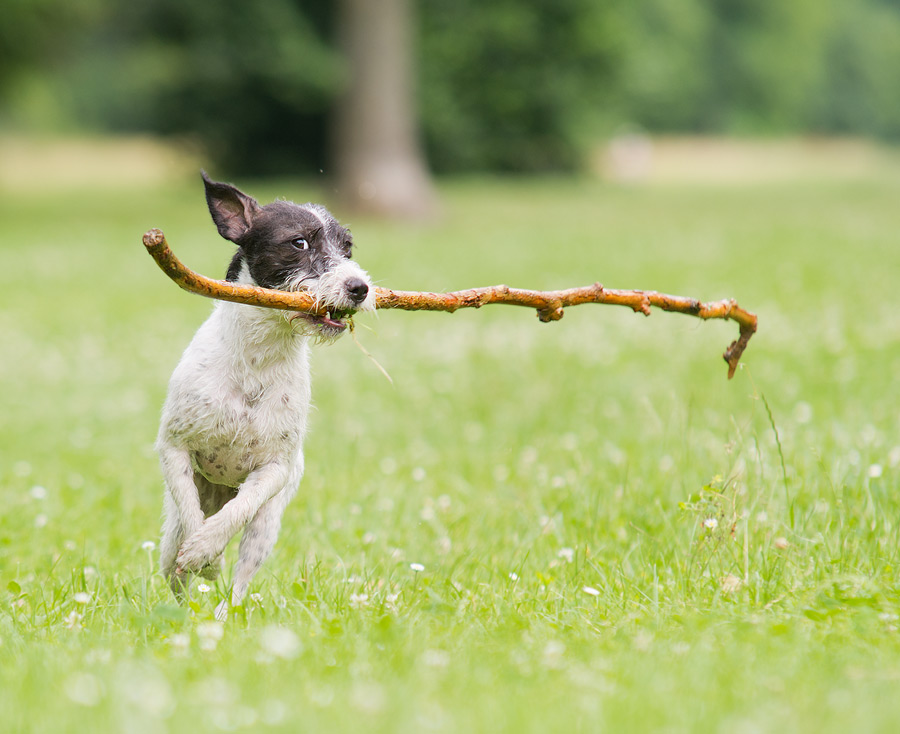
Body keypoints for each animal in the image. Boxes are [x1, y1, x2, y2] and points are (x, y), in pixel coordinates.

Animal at [156, 174, 374, 620]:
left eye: (348, 248)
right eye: (299, 243)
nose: (359, 287)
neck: (257, 357)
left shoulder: (274, 470)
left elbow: (238, 511)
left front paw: (208, 550)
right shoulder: (173, 448)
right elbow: (190, 512)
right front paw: (205, 553)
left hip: (265, 528)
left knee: (240, 576)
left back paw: (223, 617)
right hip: (170, 539)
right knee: (176, 569)